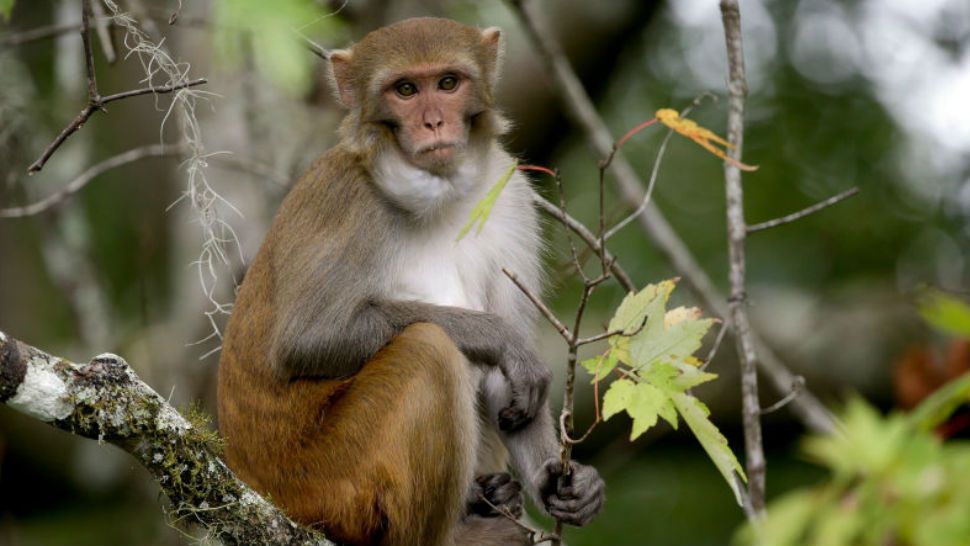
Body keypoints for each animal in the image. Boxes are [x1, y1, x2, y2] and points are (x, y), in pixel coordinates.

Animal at [216, 17, 600, 544]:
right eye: (404, 90)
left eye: (447, 83)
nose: (433, 122)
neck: (442, 192)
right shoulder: (347, 200)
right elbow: (307, 340)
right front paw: (499, 337)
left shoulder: (511, 196)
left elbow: (508, 390)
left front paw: (567, 484)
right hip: (326, 481)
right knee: (429, 351)